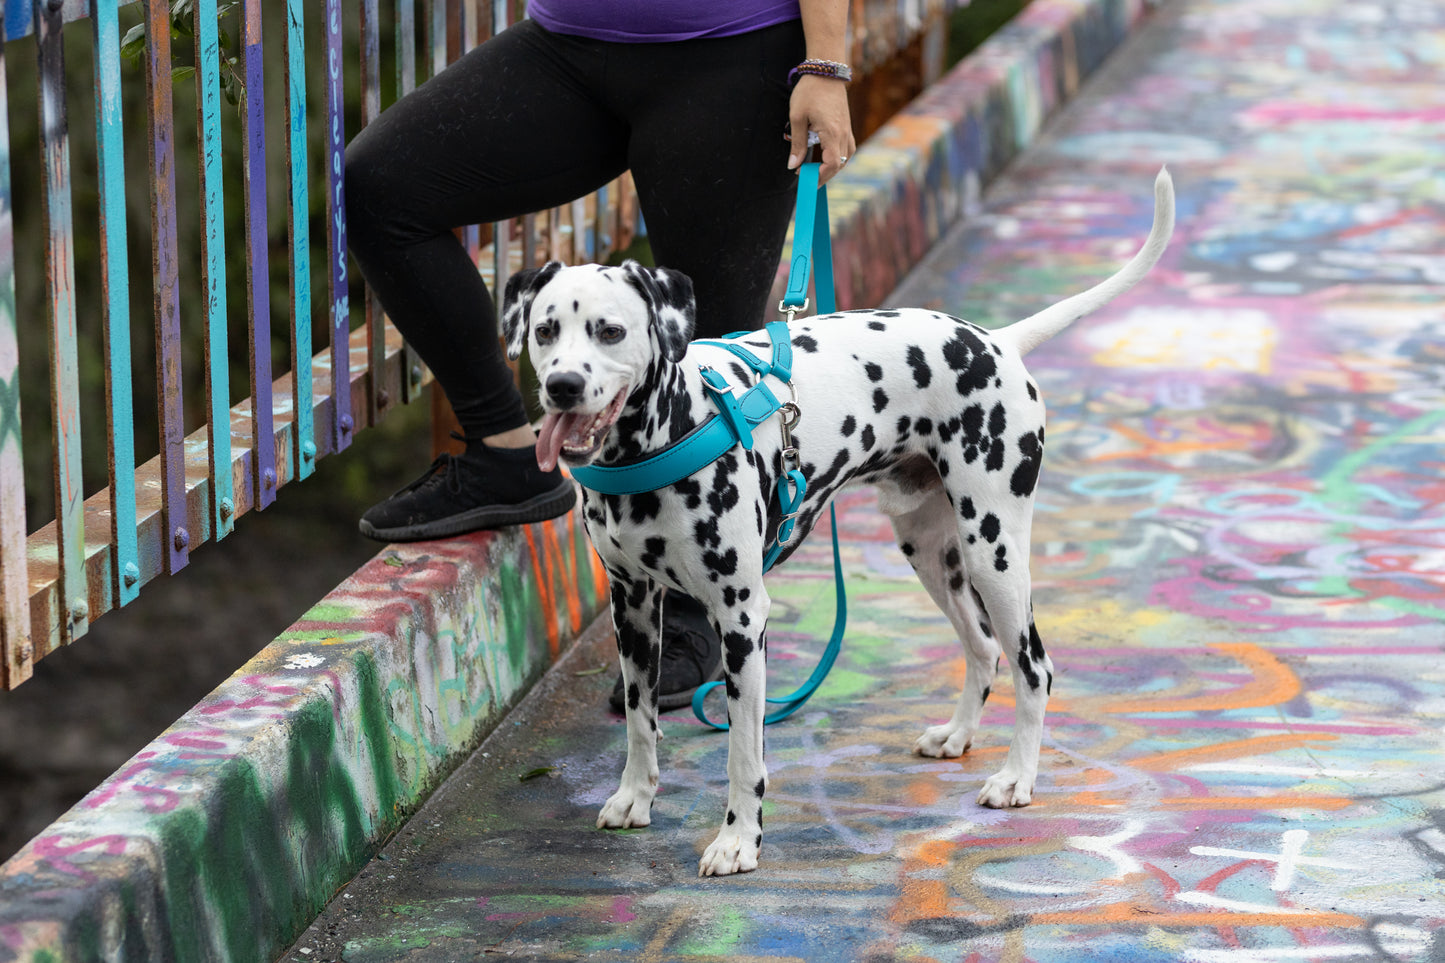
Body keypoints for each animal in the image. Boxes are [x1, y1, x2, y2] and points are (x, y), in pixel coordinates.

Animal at [499, 168, 1173, 873]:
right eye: (545, 331)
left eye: (609, 331)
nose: (563, 386)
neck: (668, 432)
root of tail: (996, 341)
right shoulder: (631, 604)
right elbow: (639, 720)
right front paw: (635, 798)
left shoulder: (743, 618)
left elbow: (743, 754)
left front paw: (738, 839)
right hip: (932, 553)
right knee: (983, 649)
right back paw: (958, 735)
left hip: (996, 553)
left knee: (1032, 667)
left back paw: (1017, 778)